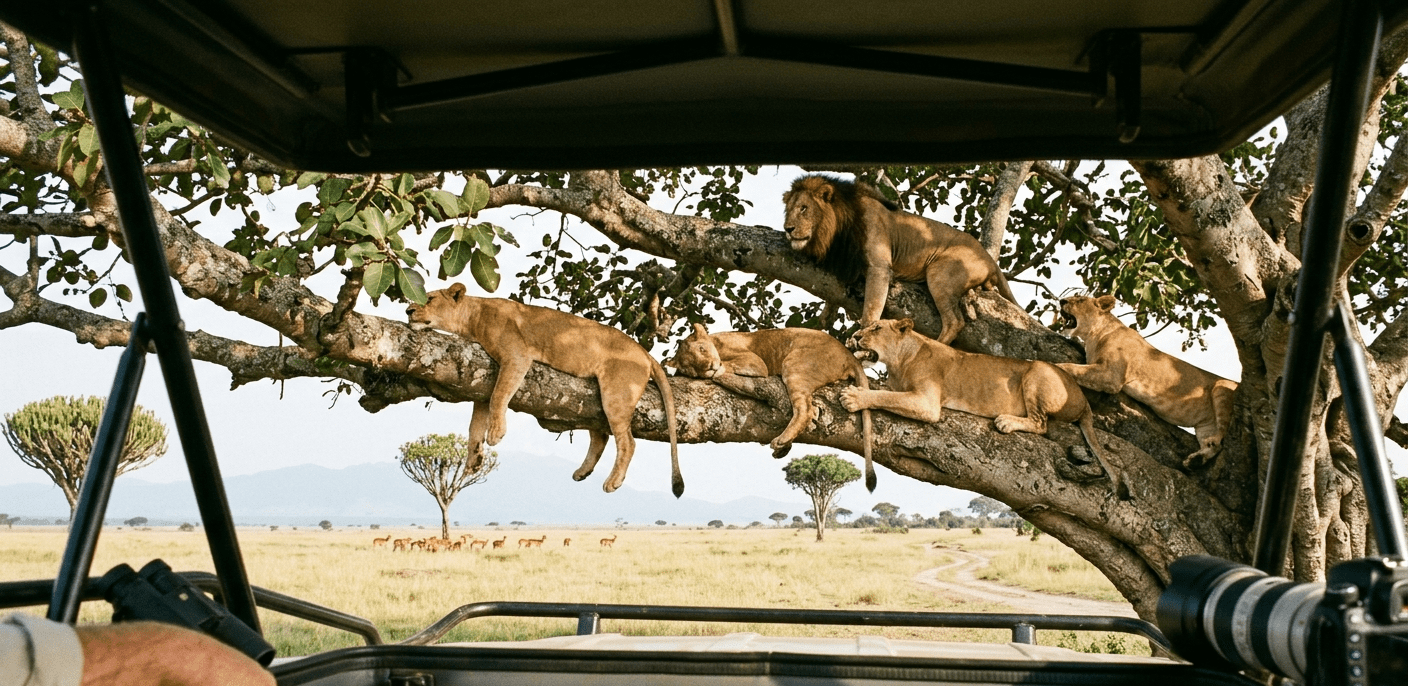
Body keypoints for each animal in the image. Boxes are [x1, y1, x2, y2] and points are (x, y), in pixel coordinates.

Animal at [406, 283, 682, 496]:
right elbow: (475, 423)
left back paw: (613, 482)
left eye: (429, 299)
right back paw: (583, 472)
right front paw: (473, 461)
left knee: (627, 442)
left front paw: (496, 434)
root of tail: (644, 353)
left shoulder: (516, 356)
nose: (408, 311)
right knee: (601, 436)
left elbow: (499, 396)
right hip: (595, 402)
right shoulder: (481, 381)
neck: (473, 317)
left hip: (616, 393)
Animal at [666, 323, 876, 490]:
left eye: (702, 349)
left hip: (794, 364)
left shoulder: (755, 362)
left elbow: (727, 367)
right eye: (691, 368)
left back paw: (781, 441)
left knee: (805, 410)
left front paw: (718, 372)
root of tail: (849, 355)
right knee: (812, 411)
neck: (717, 343)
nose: (709, 367)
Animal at [782, 175, 1017, 343]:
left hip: (940, 272)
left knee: (954, 322)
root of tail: (990, 260)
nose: (787, 229)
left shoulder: (879, 266)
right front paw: (826, 315)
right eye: (789, 210)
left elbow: (871, 308)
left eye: (803, 208)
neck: (836, 234)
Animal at [840, 319, 1127, 499]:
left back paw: (1006, 421)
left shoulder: (927, 402)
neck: (899, 361)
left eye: (876, 328)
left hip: (1037, 370)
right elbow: (887, 392)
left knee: (1041, 423)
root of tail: (1084, 400)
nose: (854, 336)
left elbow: (885, 396)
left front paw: (855, 396)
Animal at [1055, 294, 1238, 469]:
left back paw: (1210, 444)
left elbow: (1071, 367)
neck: (1094, 336)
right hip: (1205, 426)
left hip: (1222, 388)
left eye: (1080, 300)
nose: (1062, 301)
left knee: (1222, 431)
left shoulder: (1111, 376)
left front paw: (1053, 366)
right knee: (1217, 446)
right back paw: (1195, 461)